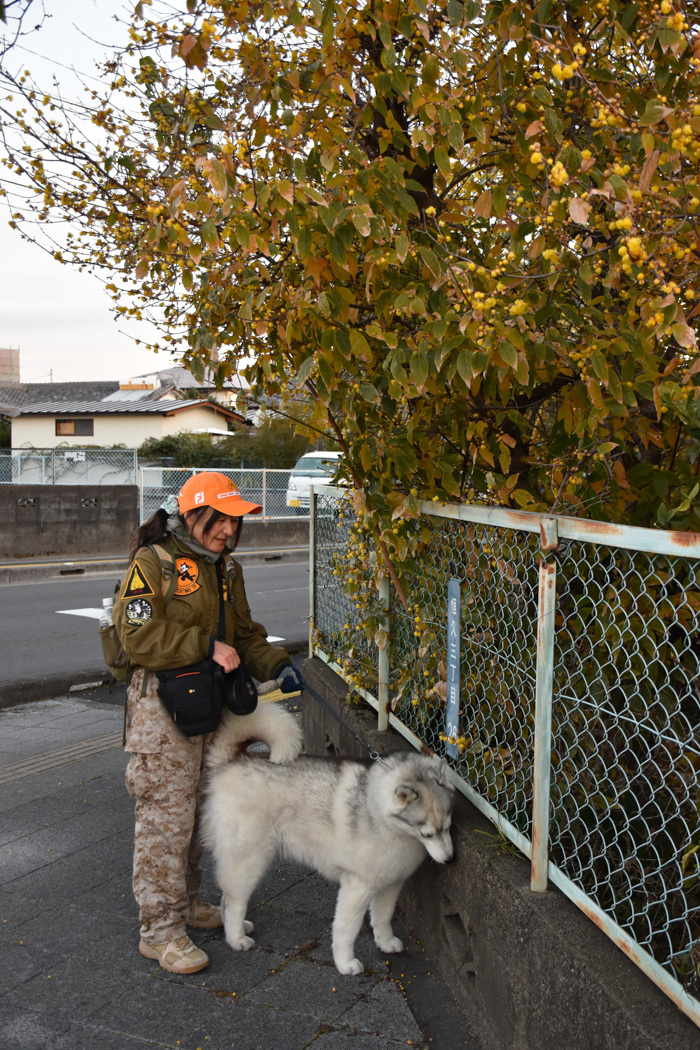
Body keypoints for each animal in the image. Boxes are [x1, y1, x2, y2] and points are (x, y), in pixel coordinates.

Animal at [201, 705, 455, 974]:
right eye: (427, 834)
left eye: (448, 826)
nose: (450, 859)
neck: (380, 816)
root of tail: (231, 761)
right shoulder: (357, 888)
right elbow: (346, 930)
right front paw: (345, 963)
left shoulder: (390, 884)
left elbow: (383, 918)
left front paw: (385, 943)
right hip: (249, 862)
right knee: (235, 902)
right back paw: (236, 938)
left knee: (226, 899)